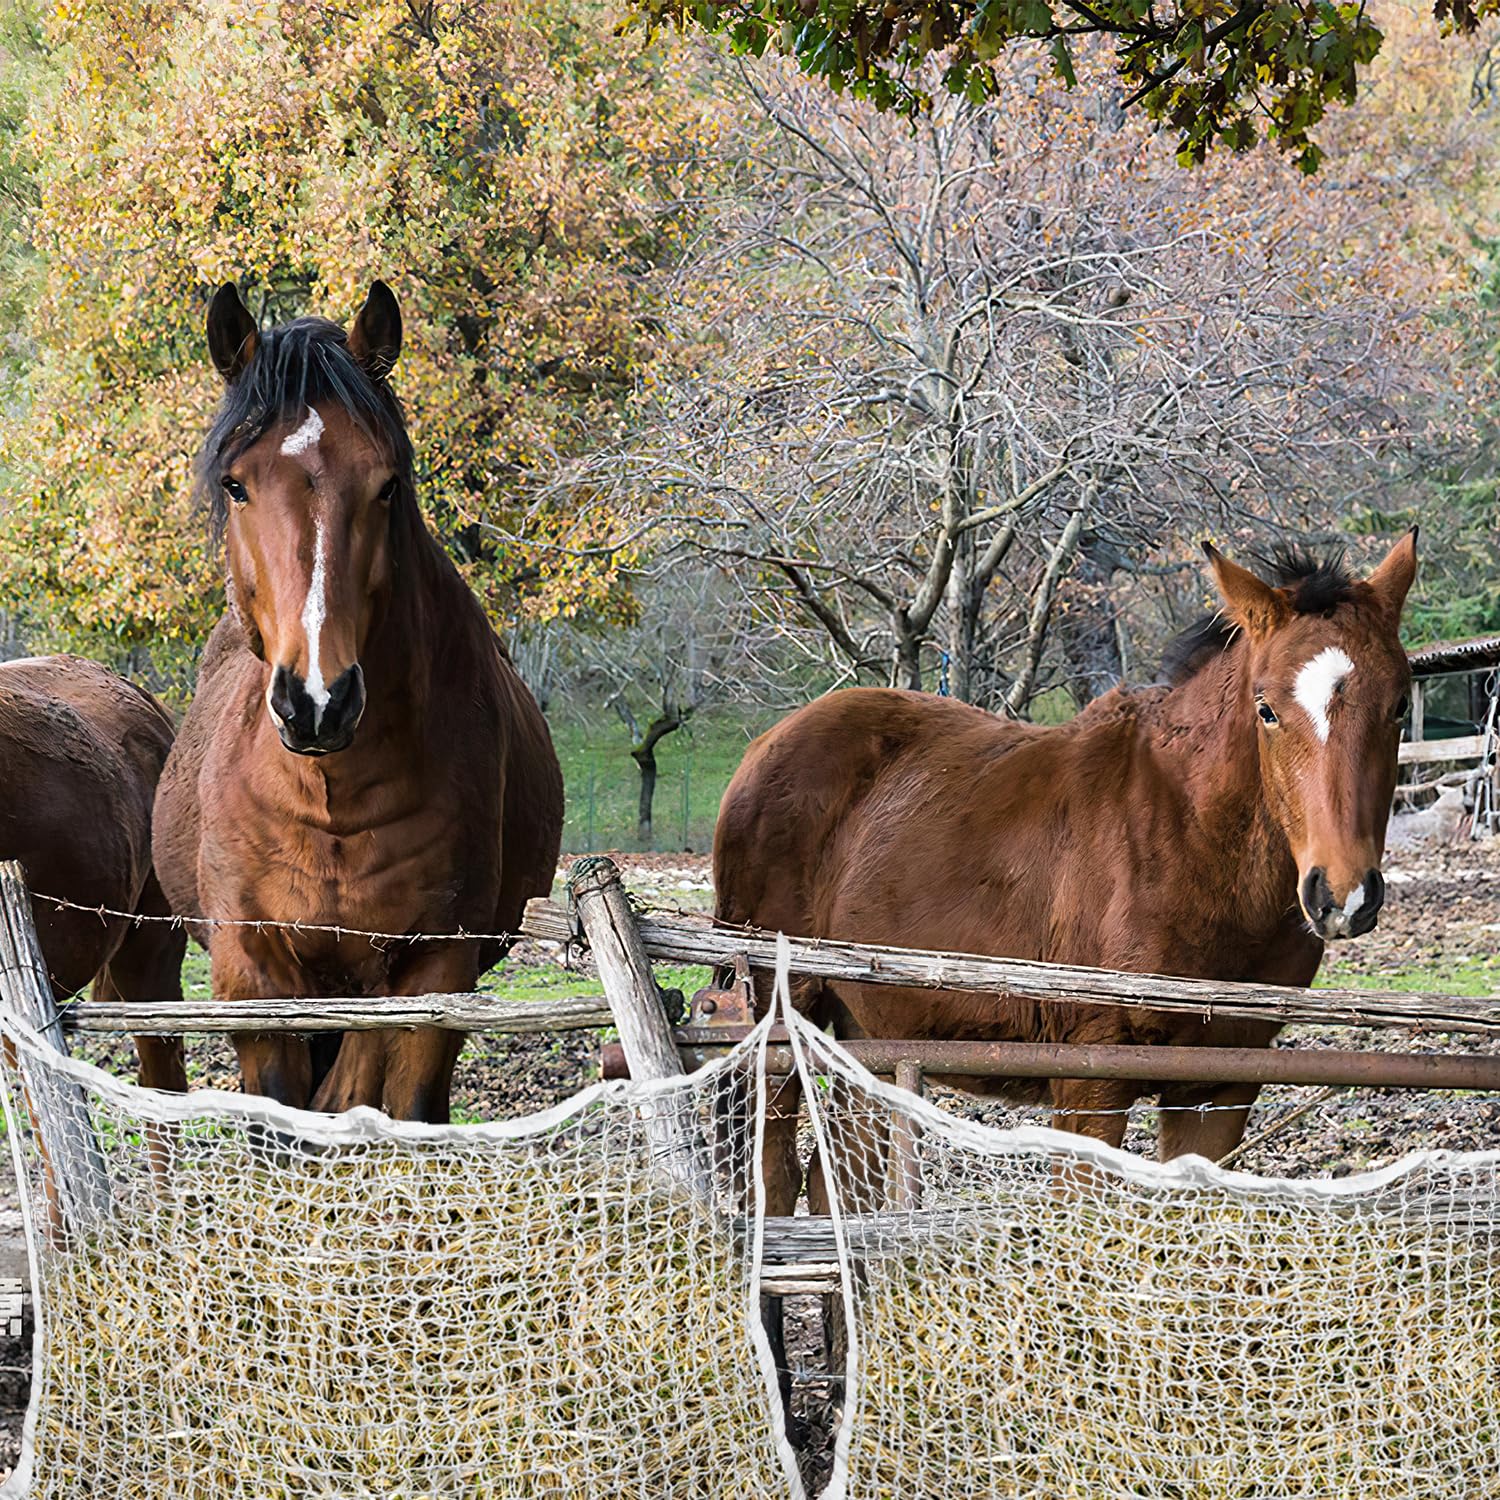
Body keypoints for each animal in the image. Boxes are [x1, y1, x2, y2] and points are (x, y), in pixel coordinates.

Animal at [154, 281, 564, 1122]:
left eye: (387, 485)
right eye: (236, 484)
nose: (319, 699)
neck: (332, 803)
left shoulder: (431, 977)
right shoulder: (255, 981)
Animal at [714, 532, 1418, 1213]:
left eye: (1400, 707)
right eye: (1266, 708)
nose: (1342, 894)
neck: (1186, 839)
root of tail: (763, 748)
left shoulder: (1218, 1088)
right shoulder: (1091, 1081)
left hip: (868, 1035)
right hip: (779, 1029)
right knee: (774, 1179)